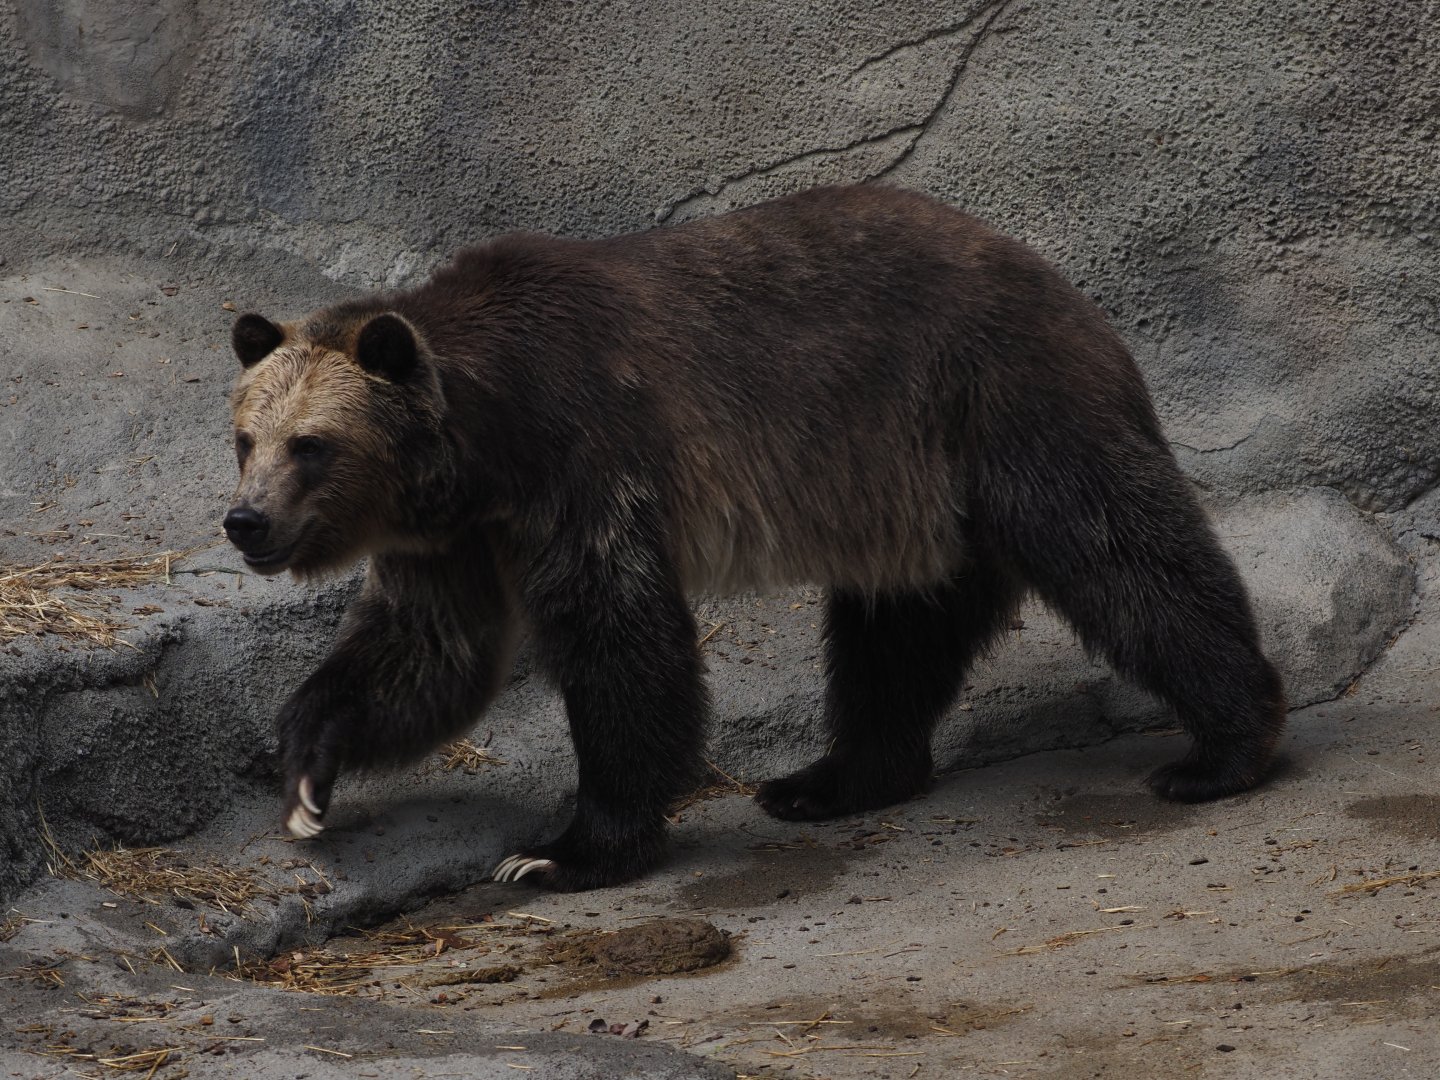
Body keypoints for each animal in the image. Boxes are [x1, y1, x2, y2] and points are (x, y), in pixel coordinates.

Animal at [224, 184, 1286, 892]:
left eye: (312, 445)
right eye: (245, 437)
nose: (245, 522)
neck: (486, 441)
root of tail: (1053, 273)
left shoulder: (586, 458)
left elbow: (621, 643)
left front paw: (560, 850)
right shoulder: (453, 538)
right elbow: (426, 652)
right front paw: (306, 767)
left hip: (996, 400)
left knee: (1123, 555)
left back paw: (1220, 748)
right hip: (910, 496)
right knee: (895, 636)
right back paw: (832, 778)